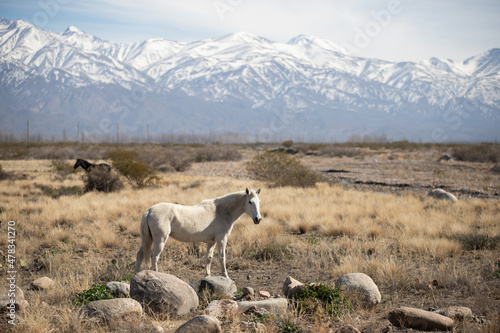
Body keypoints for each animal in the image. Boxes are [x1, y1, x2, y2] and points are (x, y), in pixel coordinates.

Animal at [135, 187, 264, 278]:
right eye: (250, 202)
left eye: (259, 201)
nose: (258, 219)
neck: (222, 211)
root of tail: (149, 210)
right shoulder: (222, 239)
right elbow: (222, 257)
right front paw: (225, 276)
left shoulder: (211, 242)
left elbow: (209, 258)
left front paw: (207, 275)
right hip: (160, 240)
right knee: (154, 256)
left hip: (147, 239)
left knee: (140, 254)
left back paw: (136, 274)